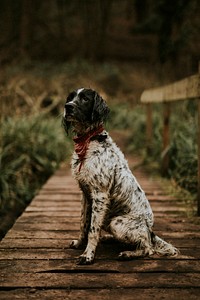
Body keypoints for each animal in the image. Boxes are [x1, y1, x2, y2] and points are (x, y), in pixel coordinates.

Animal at [62, 87, 178, 264]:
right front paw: (80, 244)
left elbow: (92, 230)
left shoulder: (100, 195)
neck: (88, 141)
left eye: (85, 99)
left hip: (116, 222)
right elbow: (83, 223)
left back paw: (127, 254)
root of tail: (150, 230)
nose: (68, 106)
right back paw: (109, 239)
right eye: (71, 97)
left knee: (148, 248)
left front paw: (88, 255)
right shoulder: (85, 194)